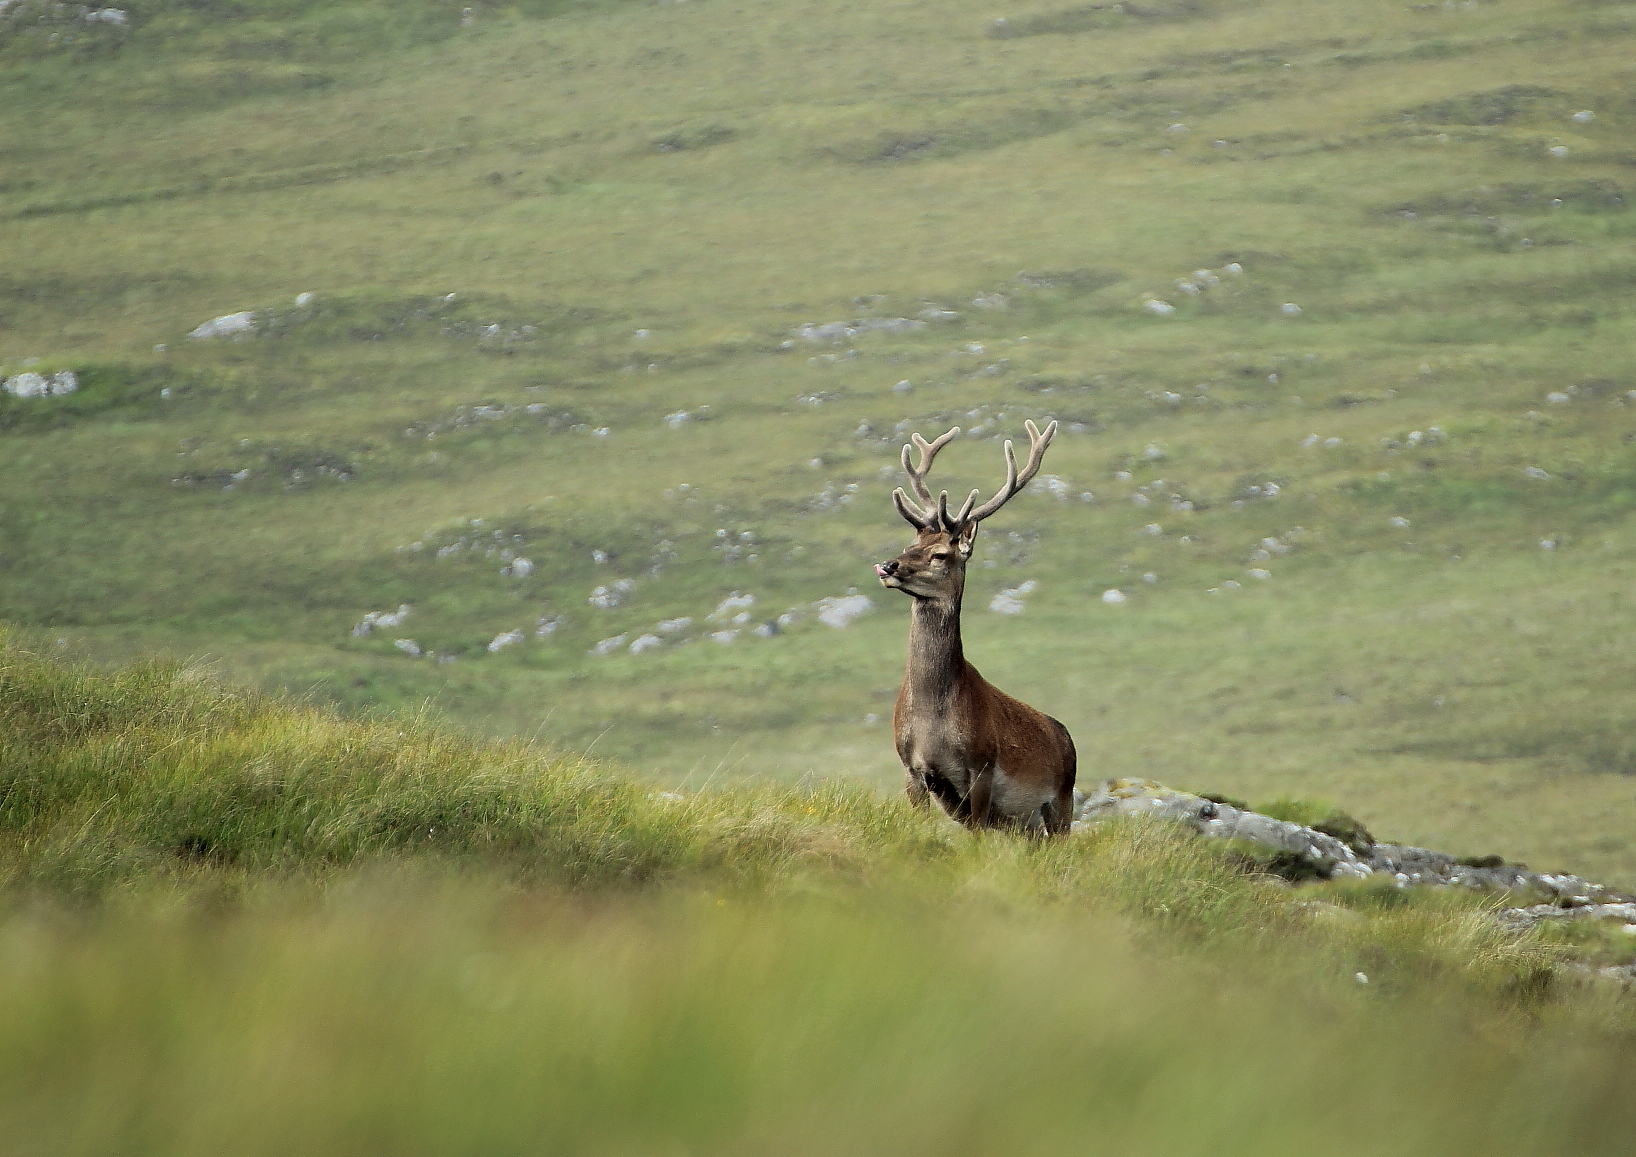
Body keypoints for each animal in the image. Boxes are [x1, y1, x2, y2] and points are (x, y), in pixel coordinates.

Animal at [874, 420, 1078, 835]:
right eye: (909, 545)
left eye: (940, 554)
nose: (888, 566)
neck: (933, 721)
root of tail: (1067, 737)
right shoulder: (912, 769)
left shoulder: (982, 766)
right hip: (1024, 824)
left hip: (1062, 800)